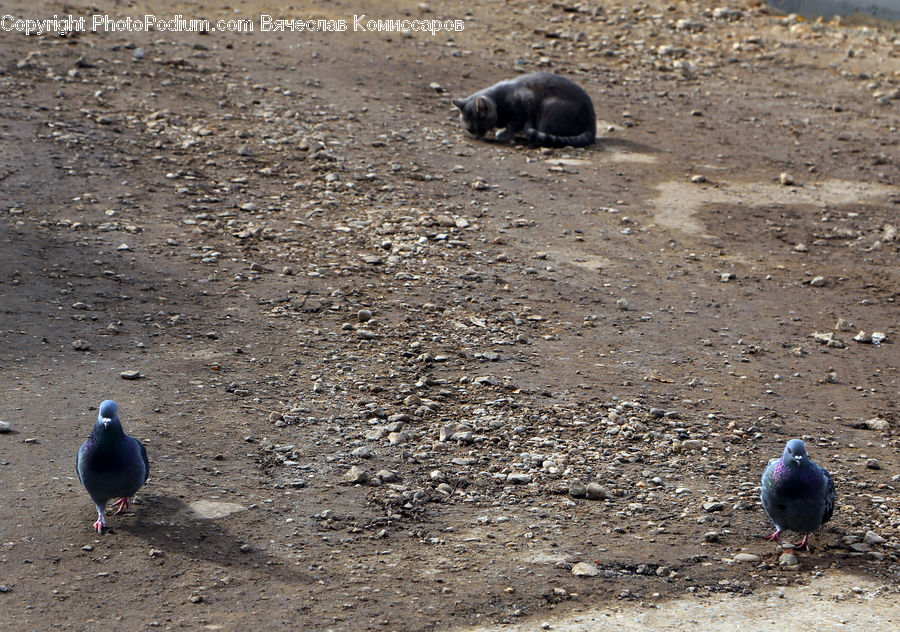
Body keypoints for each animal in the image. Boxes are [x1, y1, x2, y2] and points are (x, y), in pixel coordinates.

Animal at [450, 73, 596, 148]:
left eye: (479, 127)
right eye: (470, 129)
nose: (477, 137)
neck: (499, 101)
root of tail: (592, 123)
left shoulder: (526, 104)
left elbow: (513, 125)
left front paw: (503, 134)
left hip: (548, 105)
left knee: (541, 138)